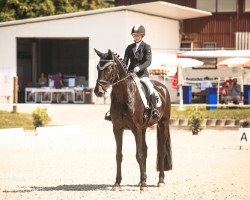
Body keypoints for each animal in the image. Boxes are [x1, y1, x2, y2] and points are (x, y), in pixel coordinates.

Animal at [93, 49, 172, 191]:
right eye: (97, 67)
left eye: (109, 68)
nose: (98, 91)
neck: (123, 95)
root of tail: (162, 87)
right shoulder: (117, 129)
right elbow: (119, 156)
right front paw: (117, 184)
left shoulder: (136, 128)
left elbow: (138, 155)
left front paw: (144, 186)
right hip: (144, 128)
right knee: (145, 150)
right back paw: (142, 180)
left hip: (163, 124)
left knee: (162, 151)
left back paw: (160, 181)